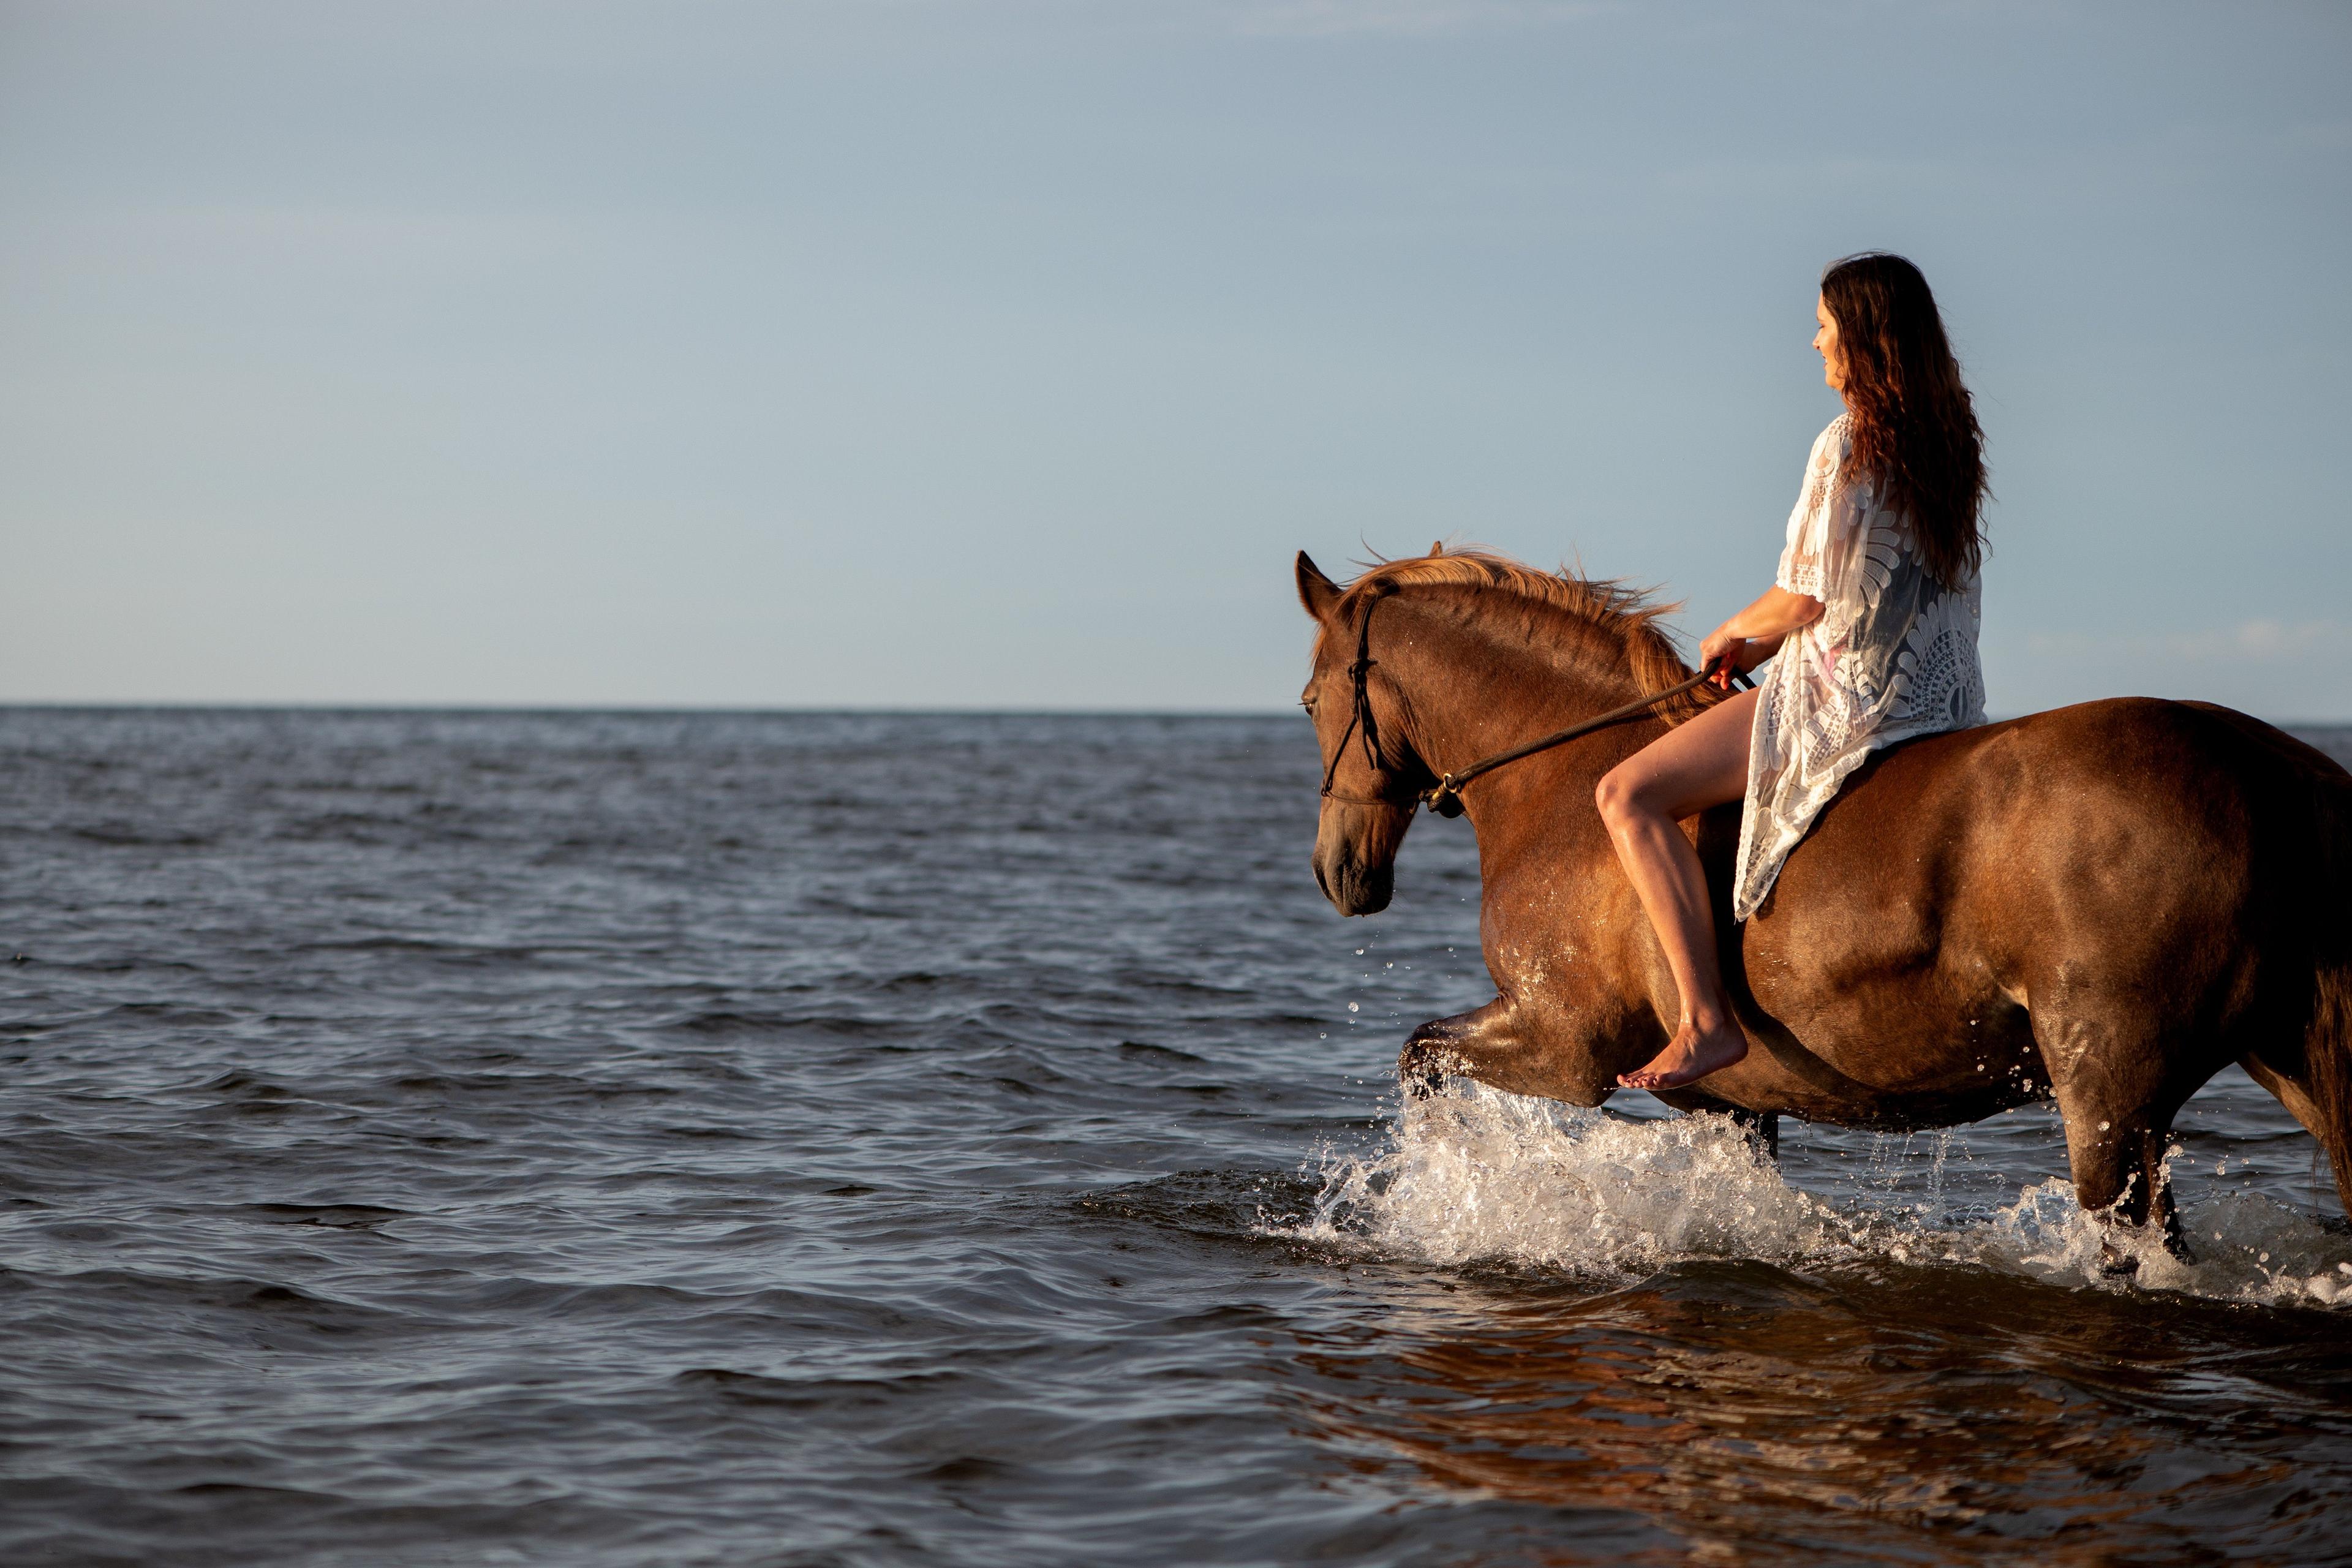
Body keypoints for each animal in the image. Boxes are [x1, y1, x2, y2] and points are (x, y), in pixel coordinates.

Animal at [1295, 544, 2352, 1258]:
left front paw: (1442, 1183)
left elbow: (1419, 1058)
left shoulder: (1564, 1047)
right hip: (2283, 1062)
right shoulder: (1730, 1103)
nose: (1338, 872)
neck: (1564, 778)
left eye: (1309, 701)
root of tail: (2264, 763)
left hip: (2110, 1095)